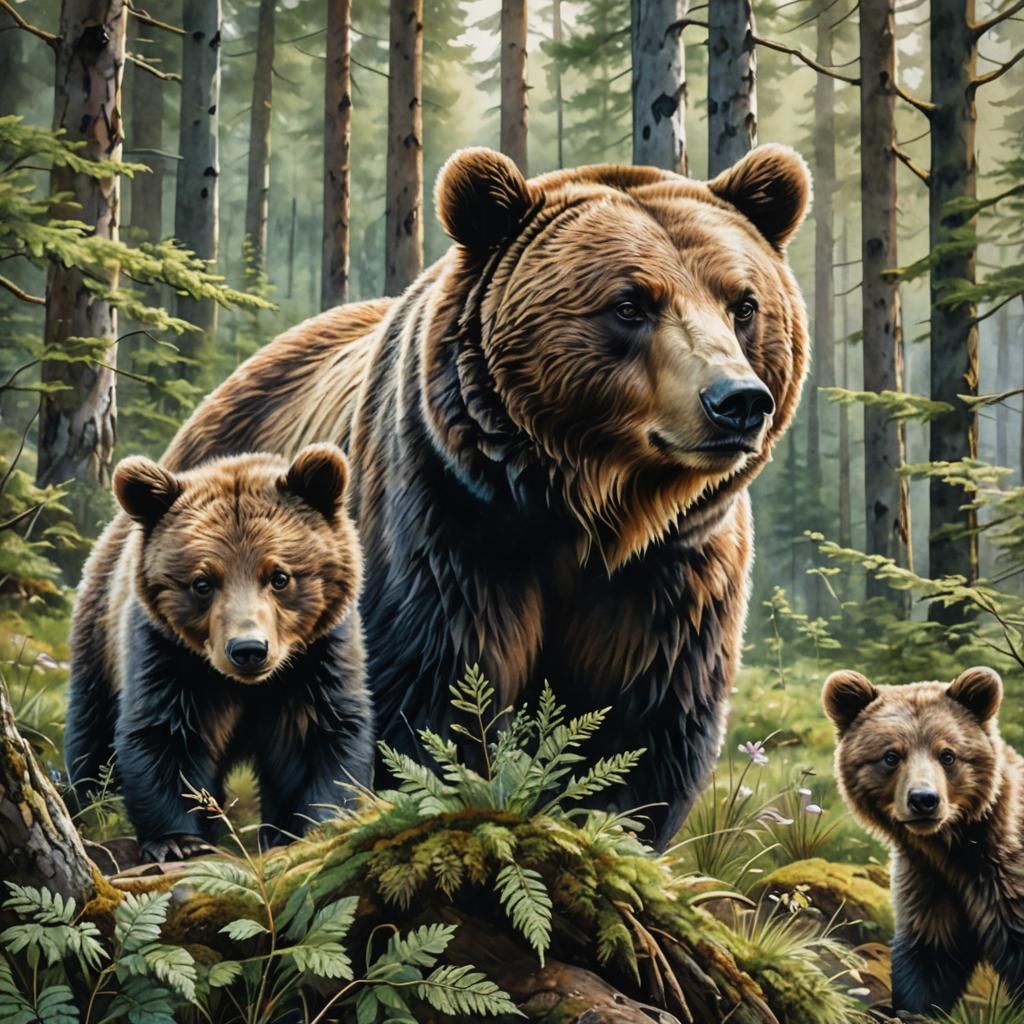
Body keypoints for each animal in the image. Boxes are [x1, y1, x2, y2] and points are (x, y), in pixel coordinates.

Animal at [65, 444, 374, 862]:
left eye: (279, 576)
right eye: (202, 582)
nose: (249, 649)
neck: (247, 686)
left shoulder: (318, 657)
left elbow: (319, 734)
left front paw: (313, 826)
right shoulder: (166, 654)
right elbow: (164, 734)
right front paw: (179, 840)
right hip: (99, 641)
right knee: (91, 740)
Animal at [823, 666, 1024, 1015]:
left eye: (948, 754)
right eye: (891, 755)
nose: (924, 799)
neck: (954, 848)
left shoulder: (1005, 881)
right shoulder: (929, 881)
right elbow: (929, 956)